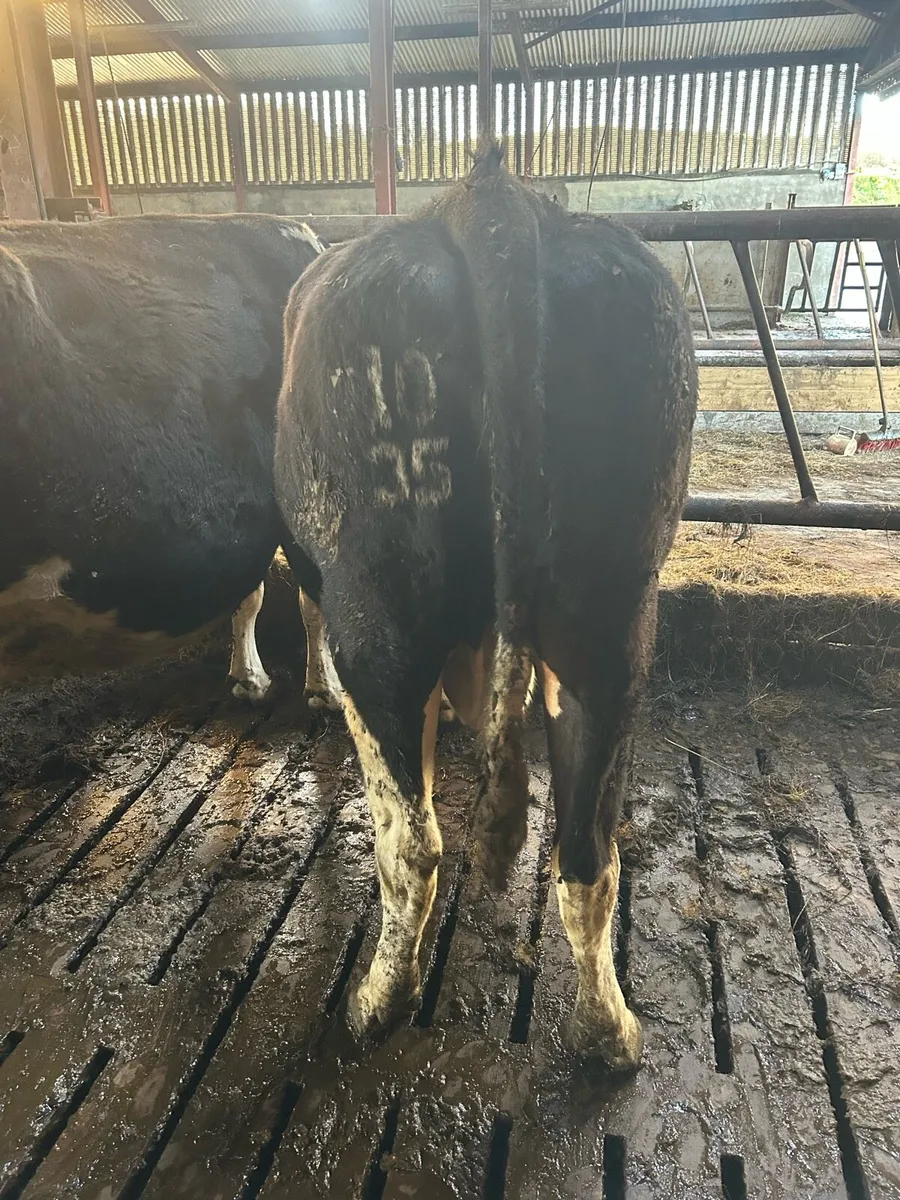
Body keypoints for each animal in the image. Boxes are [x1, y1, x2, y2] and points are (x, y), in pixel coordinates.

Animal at [275, 143, 697, 1070]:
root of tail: (492, 203)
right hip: (615, 621)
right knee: (588, 852)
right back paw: (609, 1033)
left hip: (378, 622)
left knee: (411, 843)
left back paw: (376, 1003)